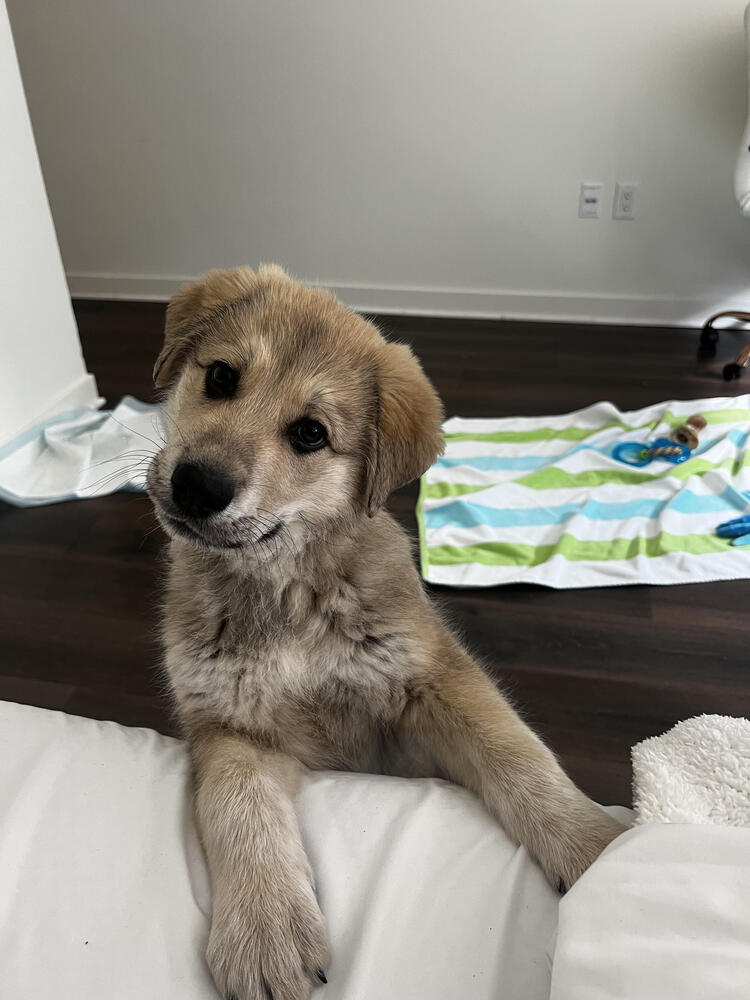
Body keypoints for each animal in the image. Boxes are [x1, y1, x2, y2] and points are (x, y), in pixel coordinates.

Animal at [145, 266, 624, 1000]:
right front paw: (264, 931)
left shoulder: (432, 678)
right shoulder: (229, 724)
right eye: (221, 377)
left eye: (310, 434)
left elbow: (519, 757)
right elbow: (239, 809)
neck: (290, 590)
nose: (198, 486)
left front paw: (597, 849)